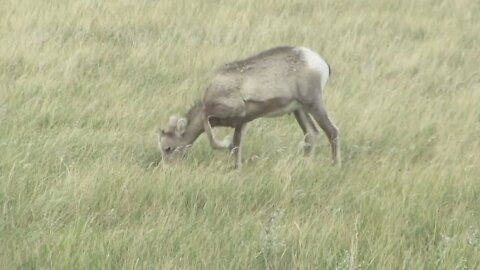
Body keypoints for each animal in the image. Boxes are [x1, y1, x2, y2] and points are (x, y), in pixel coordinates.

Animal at [158, 46, 342, 169]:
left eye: (168, 148)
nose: (167, 169)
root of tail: (321, 63)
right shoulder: (241, 123)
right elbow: (236, 145)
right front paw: (236, 169)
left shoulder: (226, 112)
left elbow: (212, 132)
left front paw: (225, 145)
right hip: (299, 110)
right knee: (311, 133)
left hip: (313, 104)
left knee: (332, 131)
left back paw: (335, 165)